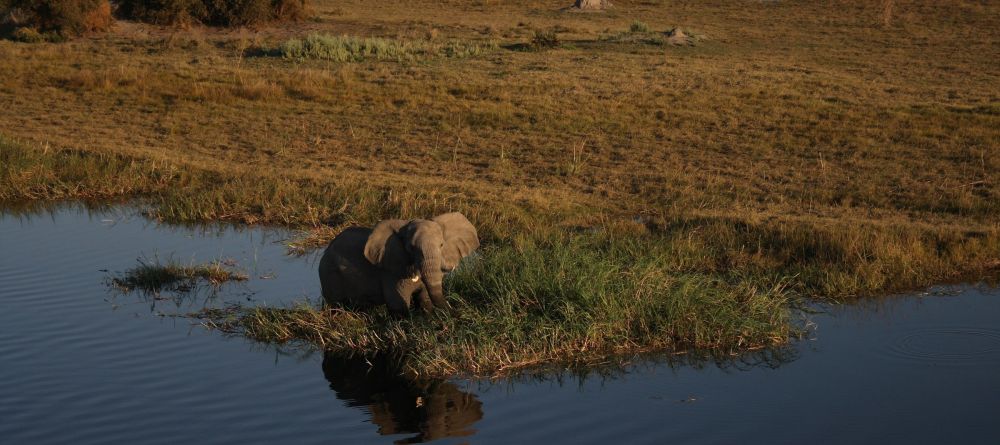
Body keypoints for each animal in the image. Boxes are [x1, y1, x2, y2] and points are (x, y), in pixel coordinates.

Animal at [318, 212, 479, 314]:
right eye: (411, 248)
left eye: (441, 245)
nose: (457, 312)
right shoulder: (391, 272)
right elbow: (398, 305)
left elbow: (425, 299)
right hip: (329, 274)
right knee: (335, 306)